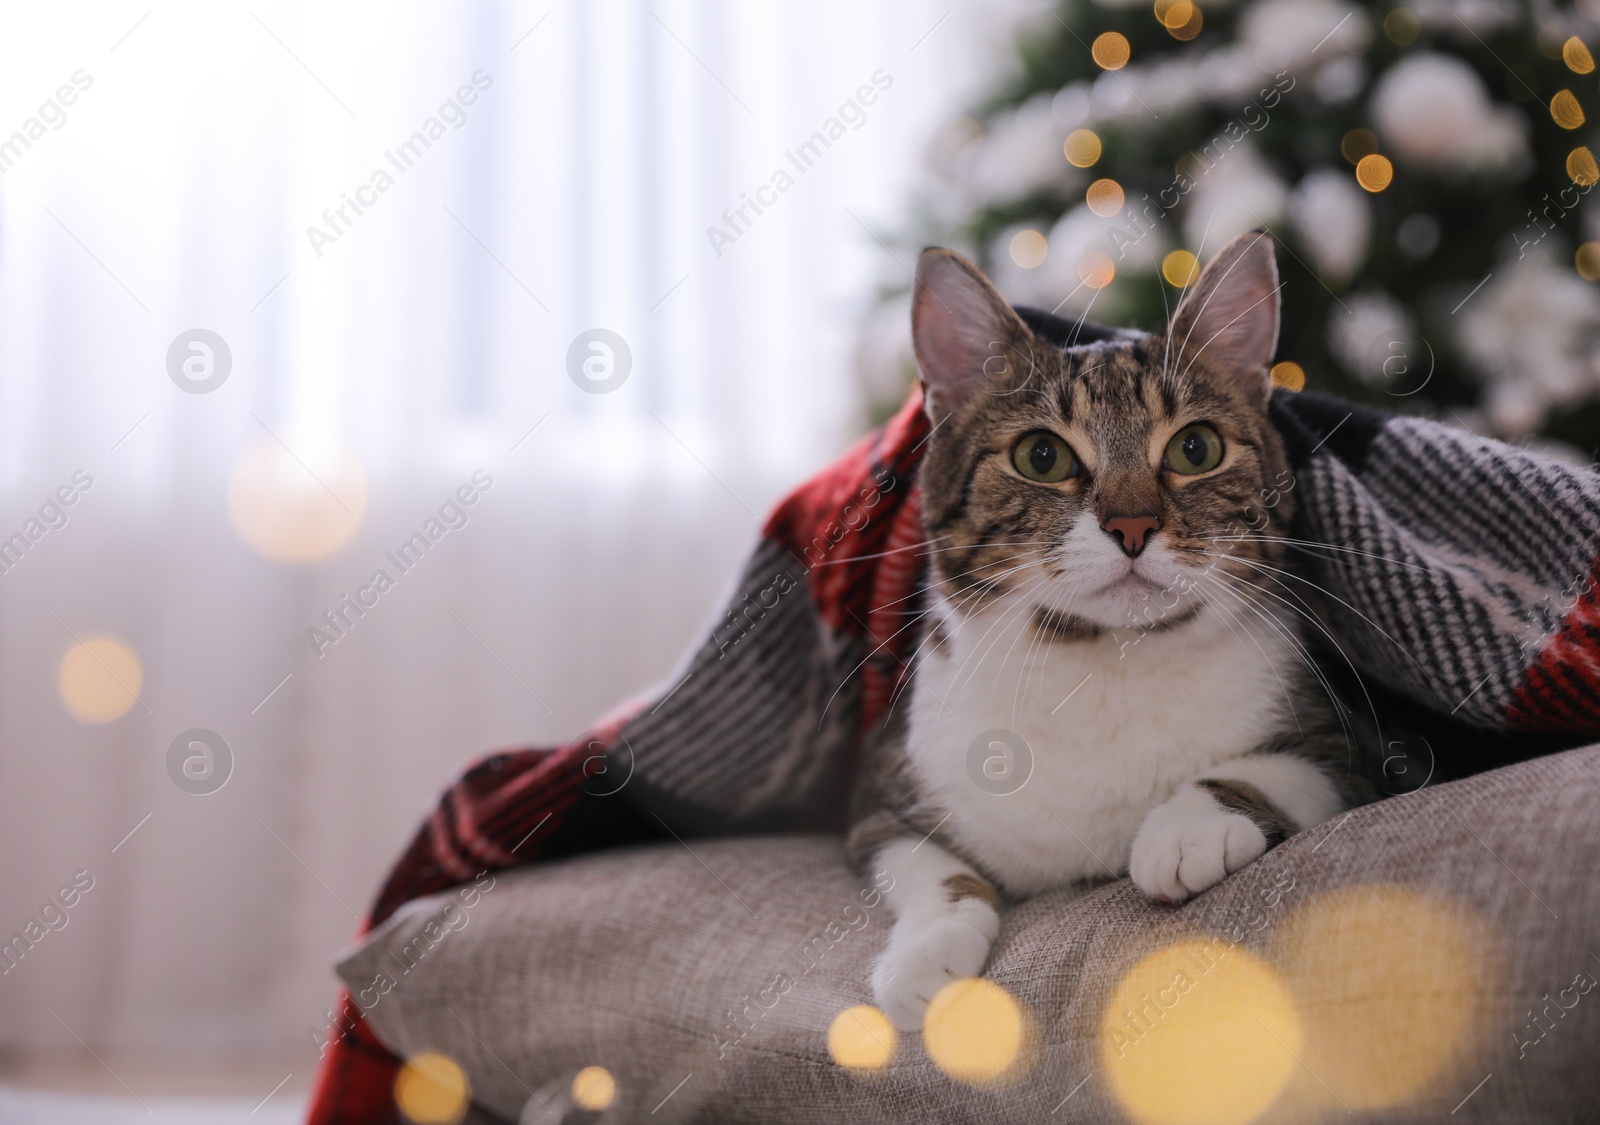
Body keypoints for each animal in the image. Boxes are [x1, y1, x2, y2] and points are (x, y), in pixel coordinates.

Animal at [851, 233, 1376, 1036]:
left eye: (1196, 448)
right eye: (1041, 456)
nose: (1132, 525)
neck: (1104, 667)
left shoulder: (1353, 746)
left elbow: (1281, 766)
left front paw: (1187, 827)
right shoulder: (879, 786)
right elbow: (917, 861)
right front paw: (925, 952)